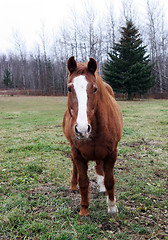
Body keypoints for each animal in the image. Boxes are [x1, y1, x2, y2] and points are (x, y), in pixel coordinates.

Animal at [62, 57, 122, 217]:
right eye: (69, 88)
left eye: (94, 89)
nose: (82, 129)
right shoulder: (77, 153)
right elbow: (83, 181)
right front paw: (84, 210)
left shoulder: (112, 153)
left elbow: (109, 180)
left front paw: (112, 207)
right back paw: (73, 185)